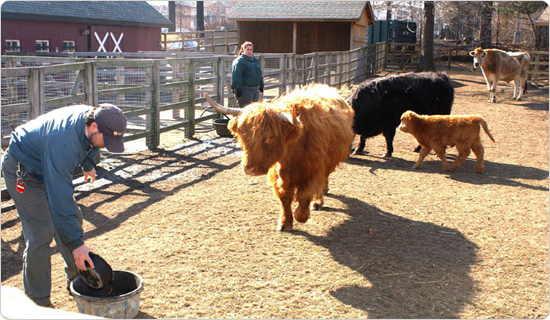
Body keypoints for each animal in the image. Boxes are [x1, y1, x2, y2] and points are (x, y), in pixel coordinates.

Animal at [205, 84, 356, 231]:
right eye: (243, 135)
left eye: (269, 137)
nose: (248, 169)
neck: (291, 155)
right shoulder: (277, 174)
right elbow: (284, 197)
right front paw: (285, 222)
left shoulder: (313, 172)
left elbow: (304, 196)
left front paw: (301, 216)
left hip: (328, 163)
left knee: (324, 179)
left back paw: (318, 201)